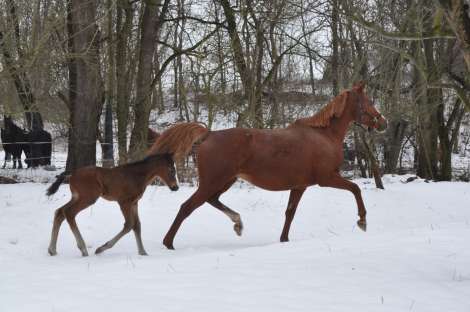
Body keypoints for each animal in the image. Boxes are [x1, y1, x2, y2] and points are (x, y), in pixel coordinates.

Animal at [46, 153, 178, 256]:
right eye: (171, 170)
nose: (175, 187)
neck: (136, 176)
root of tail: (72, 173)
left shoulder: (134, 203)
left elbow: (137, 225)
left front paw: (143, 252)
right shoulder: (124, 202)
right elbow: (129, 225)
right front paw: (101, 248)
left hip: (77, 197)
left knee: (60, 212)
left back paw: (52, 250)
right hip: (88, 198)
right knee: (69, 213)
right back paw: (83, 249)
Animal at [151, 82, 390, 249]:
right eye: (368, 101)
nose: (383, 122)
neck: (324, 135)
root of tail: (209, 134)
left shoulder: (299, 186)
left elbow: (290, 213)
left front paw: (284, 239)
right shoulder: (326, 178)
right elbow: (355, 189)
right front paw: (362, 220)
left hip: (224, 181)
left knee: (212, 200)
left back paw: (238, 224)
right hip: (213, 182)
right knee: (187, 207)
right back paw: (168, 243)